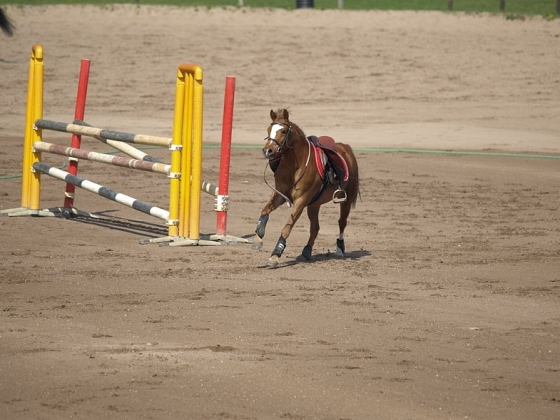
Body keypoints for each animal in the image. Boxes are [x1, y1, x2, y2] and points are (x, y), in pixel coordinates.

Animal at [253, 107, 360, 266]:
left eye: (283, 131)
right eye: (268, 129)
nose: (268, 151)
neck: (294, 166)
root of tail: (346, 148)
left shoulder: (301, 201)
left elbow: (287, 227)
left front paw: (275, 254)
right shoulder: (280, 195)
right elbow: (265, 210)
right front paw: (257, 238)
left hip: (345, 200)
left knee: (342, 222)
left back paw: (340, 249)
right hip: (314, 204)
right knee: (315, 228)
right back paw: (307, 251)